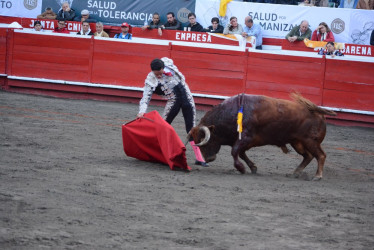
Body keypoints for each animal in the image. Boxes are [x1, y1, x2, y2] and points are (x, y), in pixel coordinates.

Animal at [188, 93, 338, 181]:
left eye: (204, 140)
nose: (207, 159)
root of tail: (318, 113)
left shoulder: (245, 138)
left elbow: (235, 152)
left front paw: (241, 169)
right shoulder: (243, 141)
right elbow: (241, 153)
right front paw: (252, 168)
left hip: (310, 141)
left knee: (320, 155)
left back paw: (317, 176)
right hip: (297, 142)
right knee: (308, 156)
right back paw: (295, 173)